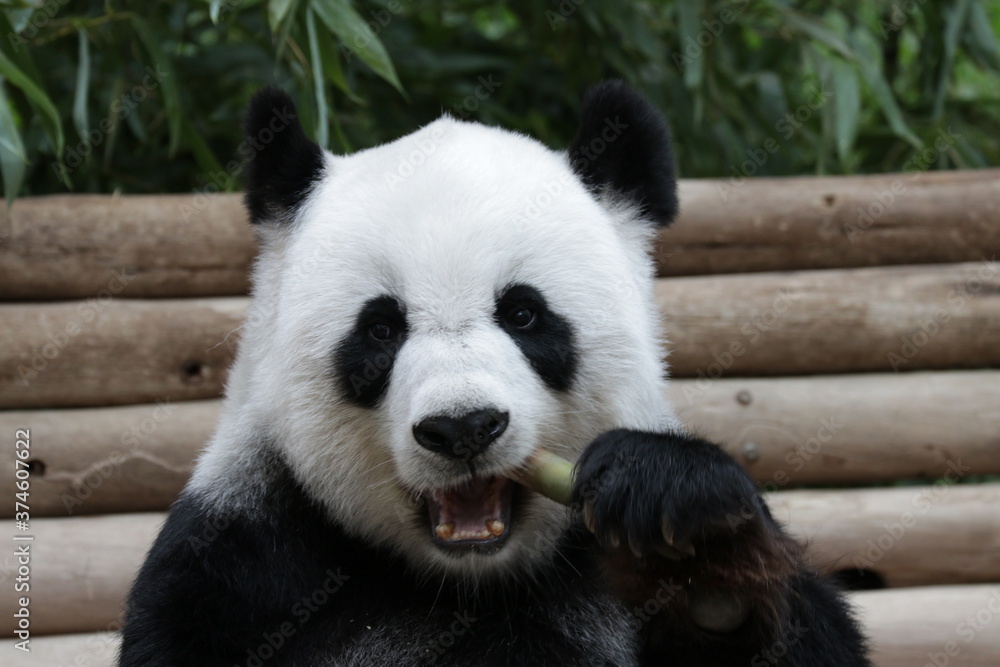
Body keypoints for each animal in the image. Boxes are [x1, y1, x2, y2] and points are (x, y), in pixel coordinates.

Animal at [120, 81, 869, 666]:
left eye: (524, 314)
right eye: (381, 329)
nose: (463, 427)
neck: (471, 582)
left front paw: (695, 552)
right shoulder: (239, 563)